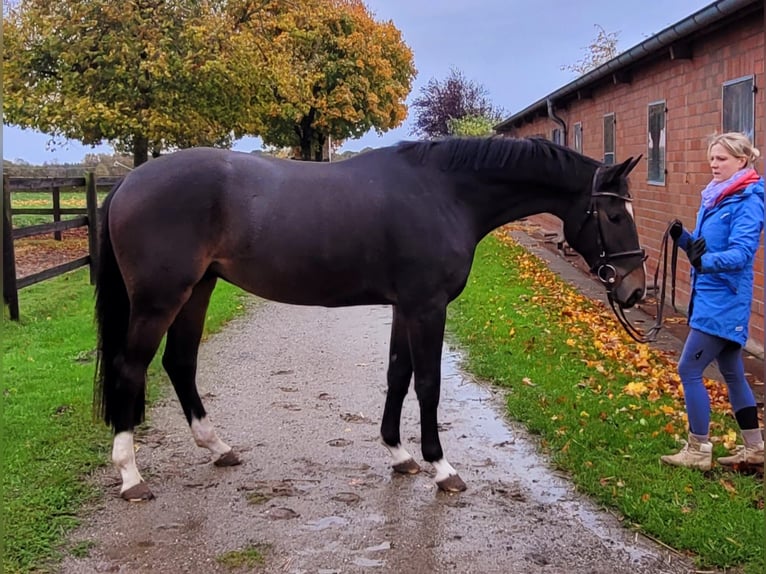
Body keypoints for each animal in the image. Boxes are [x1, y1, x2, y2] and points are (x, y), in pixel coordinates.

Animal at [94, 136, 646, 501]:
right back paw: (131, 475)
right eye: (615, 215)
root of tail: (128, 181)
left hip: (198, 290)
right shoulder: (427, 306)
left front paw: (399, 456)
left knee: (179, 363)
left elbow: (398, 375)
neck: (445, 193)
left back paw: (217, 447)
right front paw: (441, 467)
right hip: (161, 298)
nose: (636, 289)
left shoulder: (406, 306)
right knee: (130, 368)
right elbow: (428, 383)